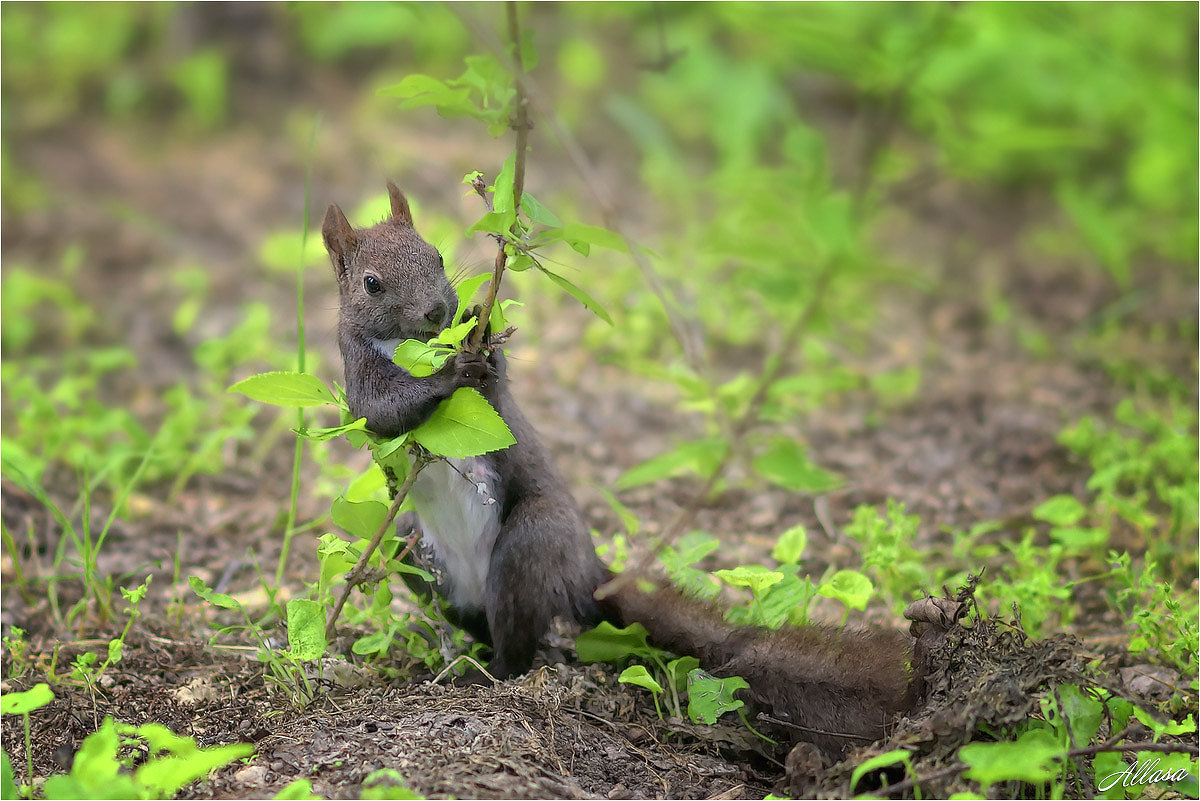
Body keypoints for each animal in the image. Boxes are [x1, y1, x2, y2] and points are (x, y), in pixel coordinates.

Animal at [324, 183, 921, 762]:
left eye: (438, 255)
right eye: (371, 284)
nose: (436, 310)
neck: (410, 349)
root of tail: (587, 574)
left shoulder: (492, 401)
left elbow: (495, 385)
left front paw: (479, 331)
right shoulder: (358, 379)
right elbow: (383, 411)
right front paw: (447, 372)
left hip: (533, 540)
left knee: (517, 636)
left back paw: (489, 673)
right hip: (410, 548)